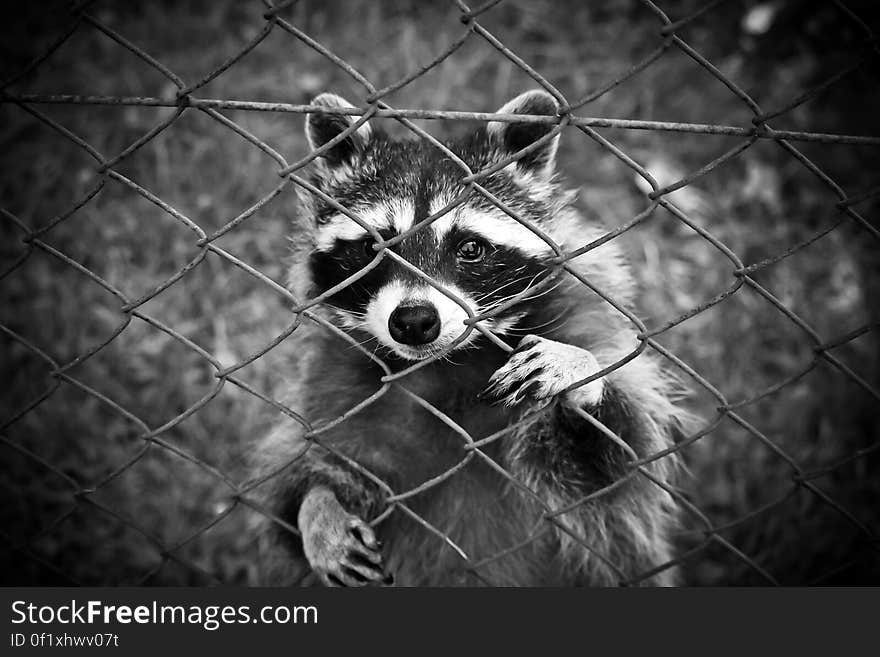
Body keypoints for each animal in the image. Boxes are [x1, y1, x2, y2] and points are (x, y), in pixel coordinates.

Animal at [254, 89, 688, 588]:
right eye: (372, 248)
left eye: (471, 248)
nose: (414, 321)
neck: (448, 366)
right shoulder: (334, 384)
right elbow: (302, 478)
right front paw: (317, 507)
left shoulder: (583, 320)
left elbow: (614, 472)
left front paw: (580, 373)